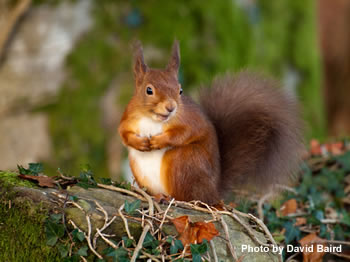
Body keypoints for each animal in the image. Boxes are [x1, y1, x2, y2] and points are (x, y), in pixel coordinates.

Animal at [118, 41, 304, 205]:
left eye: (180, 90)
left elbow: (185, 133)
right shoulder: (128, 118)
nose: (171, 107)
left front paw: (159, 141)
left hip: (183, 161)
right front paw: (139, 142)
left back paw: (171, 198)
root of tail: (214, 191)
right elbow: (123, 134)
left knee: (190, 197)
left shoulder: (192, 120)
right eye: (149, 90)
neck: (153, 119)